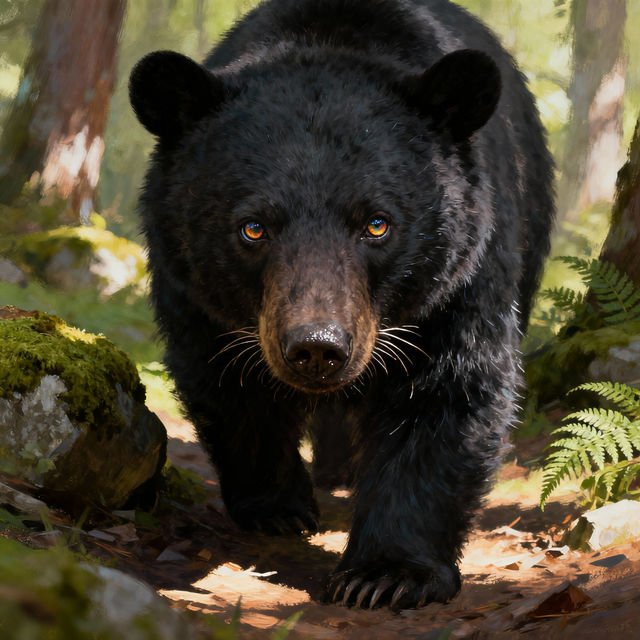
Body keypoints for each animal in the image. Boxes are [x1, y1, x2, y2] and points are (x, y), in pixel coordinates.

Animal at [129, 0, 554, 609]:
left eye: (376, 224)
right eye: (253, 227)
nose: (316, 348)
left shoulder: (459, 285)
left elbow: (447, 395)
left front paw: (385, 575)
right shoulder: (194, 293)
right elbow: (227, 386)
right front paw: (278, 507)